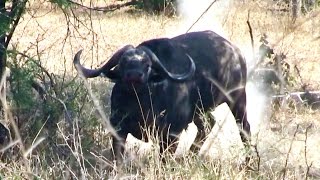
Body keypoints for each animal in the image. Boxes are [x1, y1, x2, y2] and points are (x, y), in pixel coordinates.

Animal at [74, 30, 251, 161]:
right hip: (200, 111)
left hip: (237, 99)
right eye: (123, 62)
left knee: (244, 127)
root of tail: (236, 53)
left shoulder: (171, 134)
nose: (134, 75)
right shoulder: (118, 130)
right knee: (208, 124)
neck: (140, 106)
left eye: (147, 65)